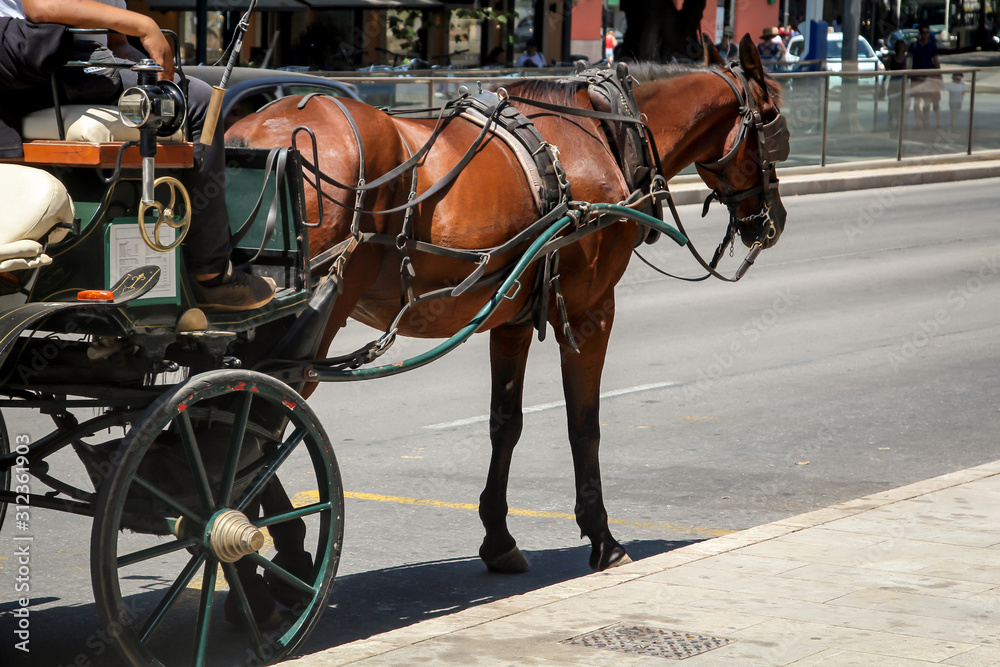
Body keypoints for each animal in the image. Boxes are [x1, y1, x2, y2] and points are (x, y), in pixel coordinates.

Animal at [230, 37, 784, 576]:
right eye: (773, 119)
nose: (773, 220)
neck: (604, 131)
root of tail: (254, 135)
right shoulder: (590, 311)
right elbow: (583, 424)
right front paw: (601, 537)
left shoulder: (512, 317)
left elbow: (505, 423)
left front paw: (498, 537)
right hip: (315, 321)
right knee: (261, 420)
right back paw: (279, 546)